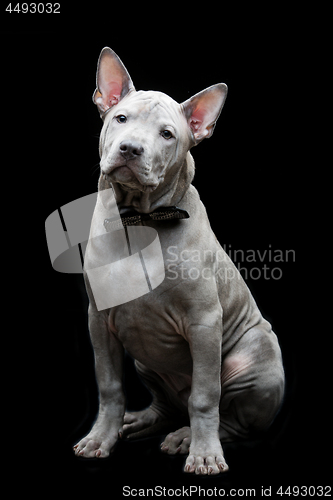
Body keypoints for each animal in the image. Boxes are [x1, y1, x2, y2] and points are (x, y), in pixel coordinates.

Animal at [74, 47, 284, 476]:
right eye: (121, 119)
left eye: (167, 134)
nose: (130, 149)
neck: (138, 220)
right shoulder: (98, 320)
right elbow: (110, 385)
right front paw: (101, 437)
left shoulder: (204, 323)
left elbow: (204, 397)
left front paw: (204, 454)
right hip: (146, 360)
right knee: (166, 405)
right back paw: (139, 420)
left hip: (254, 357)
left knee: (226, 416)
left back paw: (188, 437)